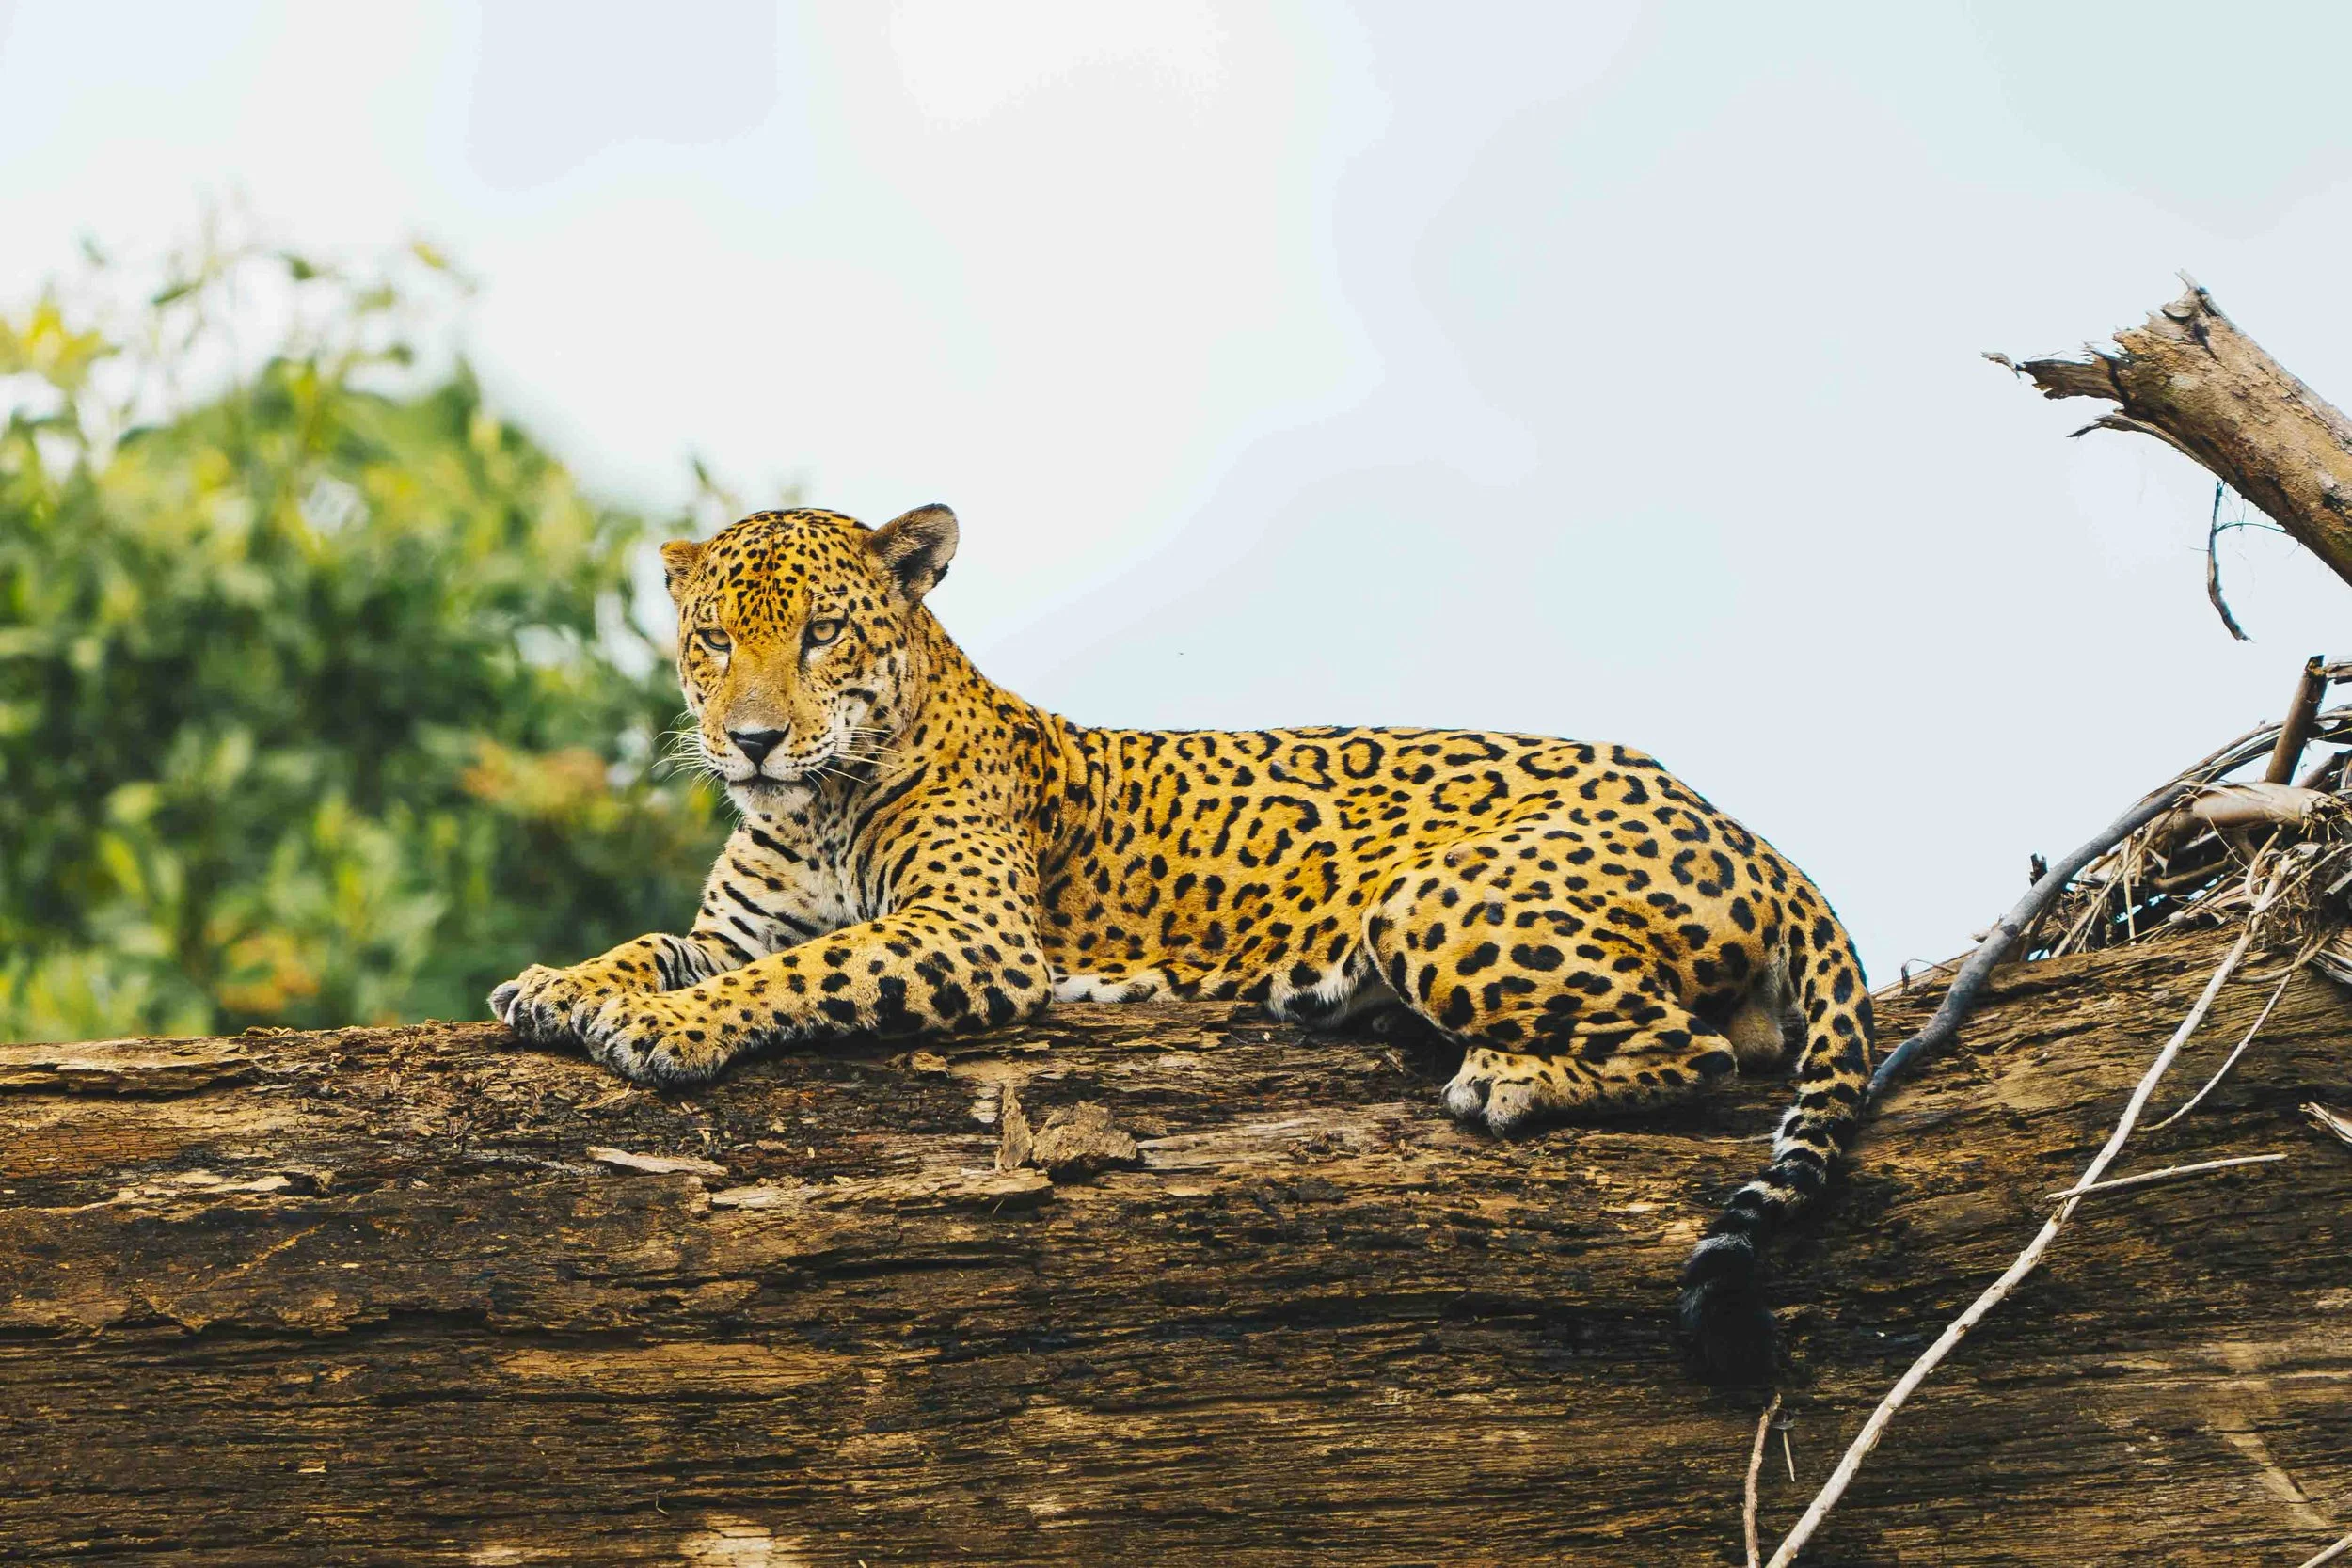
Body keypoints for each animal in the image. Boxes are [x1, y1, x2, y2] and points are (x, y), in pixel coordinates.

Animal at [490, 504, 1874, 1380]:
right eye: (715, 639)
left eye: (823, 634)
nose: (752, 738)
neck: (810, 806)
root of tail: (1745, 828)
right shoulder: (734, 928)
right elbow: (661, 944)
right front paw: (560, 983)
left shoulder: (970, 932)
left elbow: (803, 970)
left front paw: (657, 1028)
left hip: (1439, 901)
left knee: (1708, 1050)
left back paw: (1510, 1076)